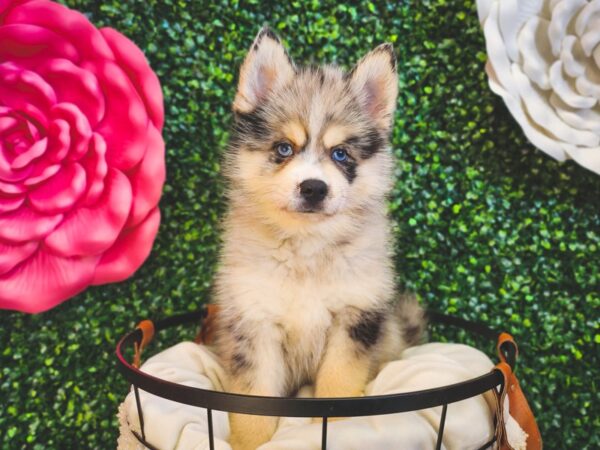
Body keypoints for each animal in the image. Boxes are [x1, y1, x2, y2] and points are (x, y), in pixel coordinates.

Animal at [213, 27, 424, 450]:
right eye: (284, 148)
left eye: (341, 153)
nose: (313, 188)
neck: (305, 249)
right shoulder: (254, 322)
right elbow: (254, 403)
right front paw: (250, 442)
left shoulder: (354, 317)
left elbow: (338, 385)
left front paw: (341, 429)